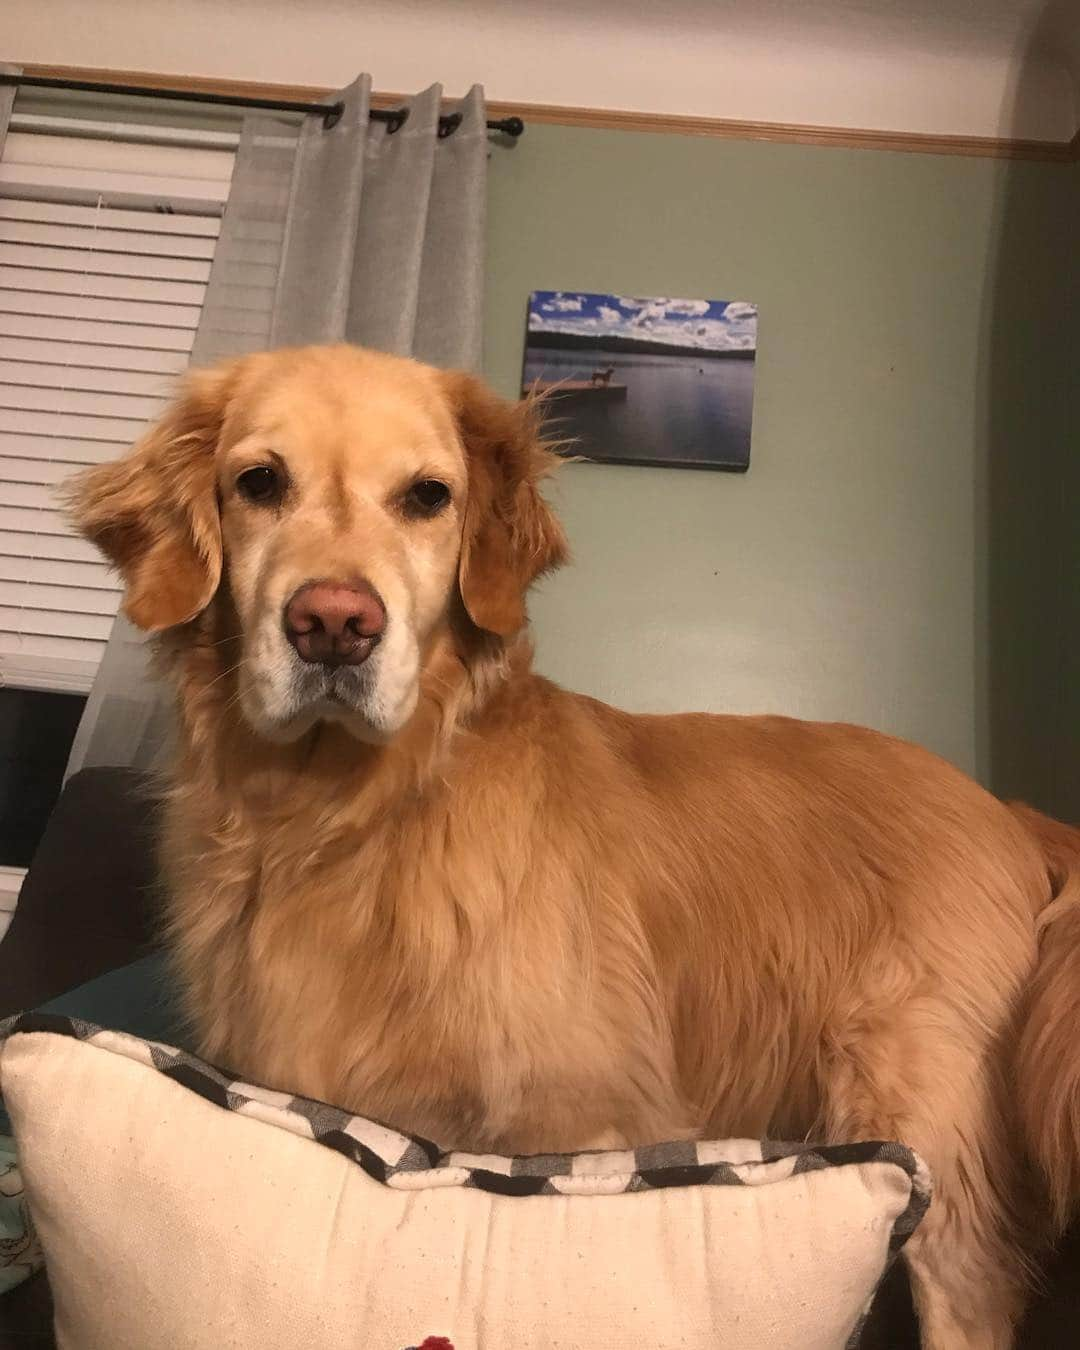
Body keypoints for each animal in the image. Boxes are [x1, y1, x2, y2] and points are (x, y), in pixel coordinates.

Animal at [71, 342, 1080, 1344]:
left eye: (428, 496)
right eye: (258, 482)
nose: (333, 625)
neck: (349, 813)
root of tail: (1007, 809)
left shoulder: (584, 1121)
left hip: (928, 1133)